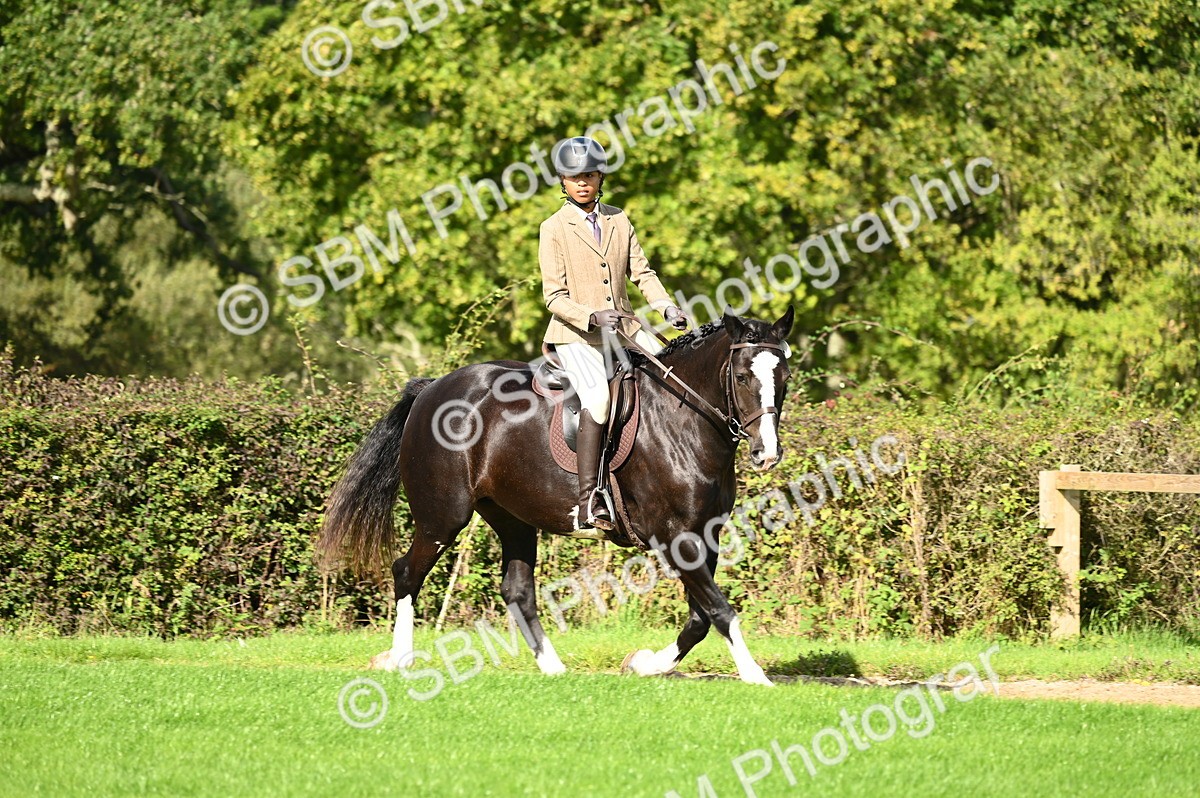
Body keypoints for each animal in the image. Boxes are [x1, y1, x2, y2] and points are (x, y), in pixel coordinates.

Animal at [317, 305, 795, 685]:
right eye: (742, 376)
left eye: (784, 377)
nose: (767, 454)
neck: (684, 420)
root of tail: (431, 389)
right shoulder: (673, 536)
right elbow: (719, 609)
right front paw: (756, 676)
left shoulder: (704, 534)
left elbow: (700, 617)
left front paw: (643, 664)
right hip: (443, 516)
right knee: (406, 573)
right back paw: (399, 659)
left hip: (511, 517)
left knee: (516, 590)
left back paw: (553, 668)